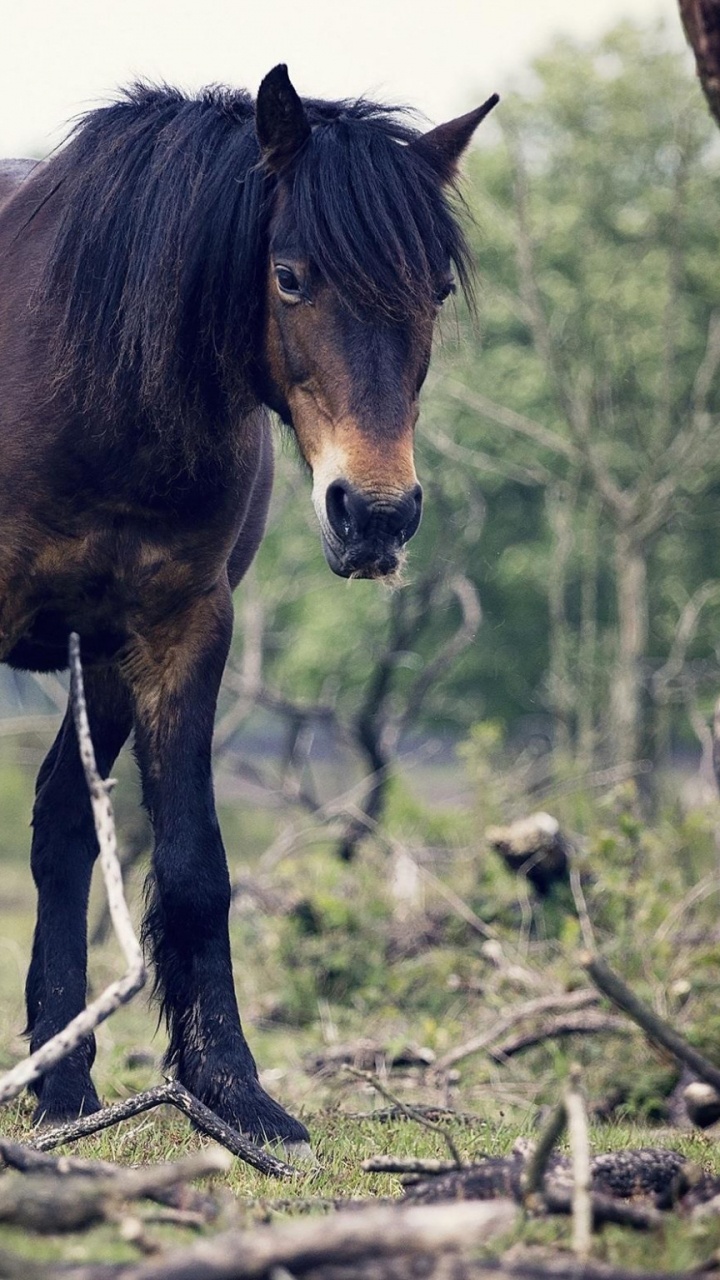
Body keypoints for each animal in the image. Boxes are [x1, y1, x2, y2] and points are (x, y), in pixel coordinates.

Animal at [0, 65, 497, 1147]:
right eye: (292, 276)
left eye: (435, 289)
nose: (376, 513)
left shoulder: (176, 632)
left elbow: (193, 868)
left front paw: (232, 1090)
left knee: (62, 826)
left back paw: (61, 1076)